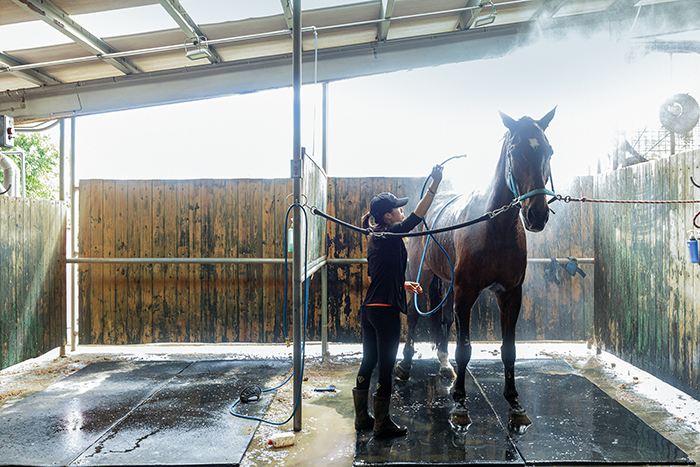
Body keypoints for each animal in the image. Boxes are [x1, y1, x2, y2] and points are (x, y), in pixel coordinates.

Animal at [395, 108, 557, 429]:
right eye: (514, 150)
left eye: (548, 150)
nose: (537, 214)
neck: (495, 227)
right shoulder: (465, 293)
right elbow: (465, 349)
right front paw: (459, 405)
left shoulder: (510, 294)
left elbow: (509, 350)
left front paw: (515, 404)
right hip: (420, 276)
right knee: (414, 318)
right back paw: (405, 367)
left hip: (446, 284)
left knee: (443, 320)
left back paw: (444, 364)